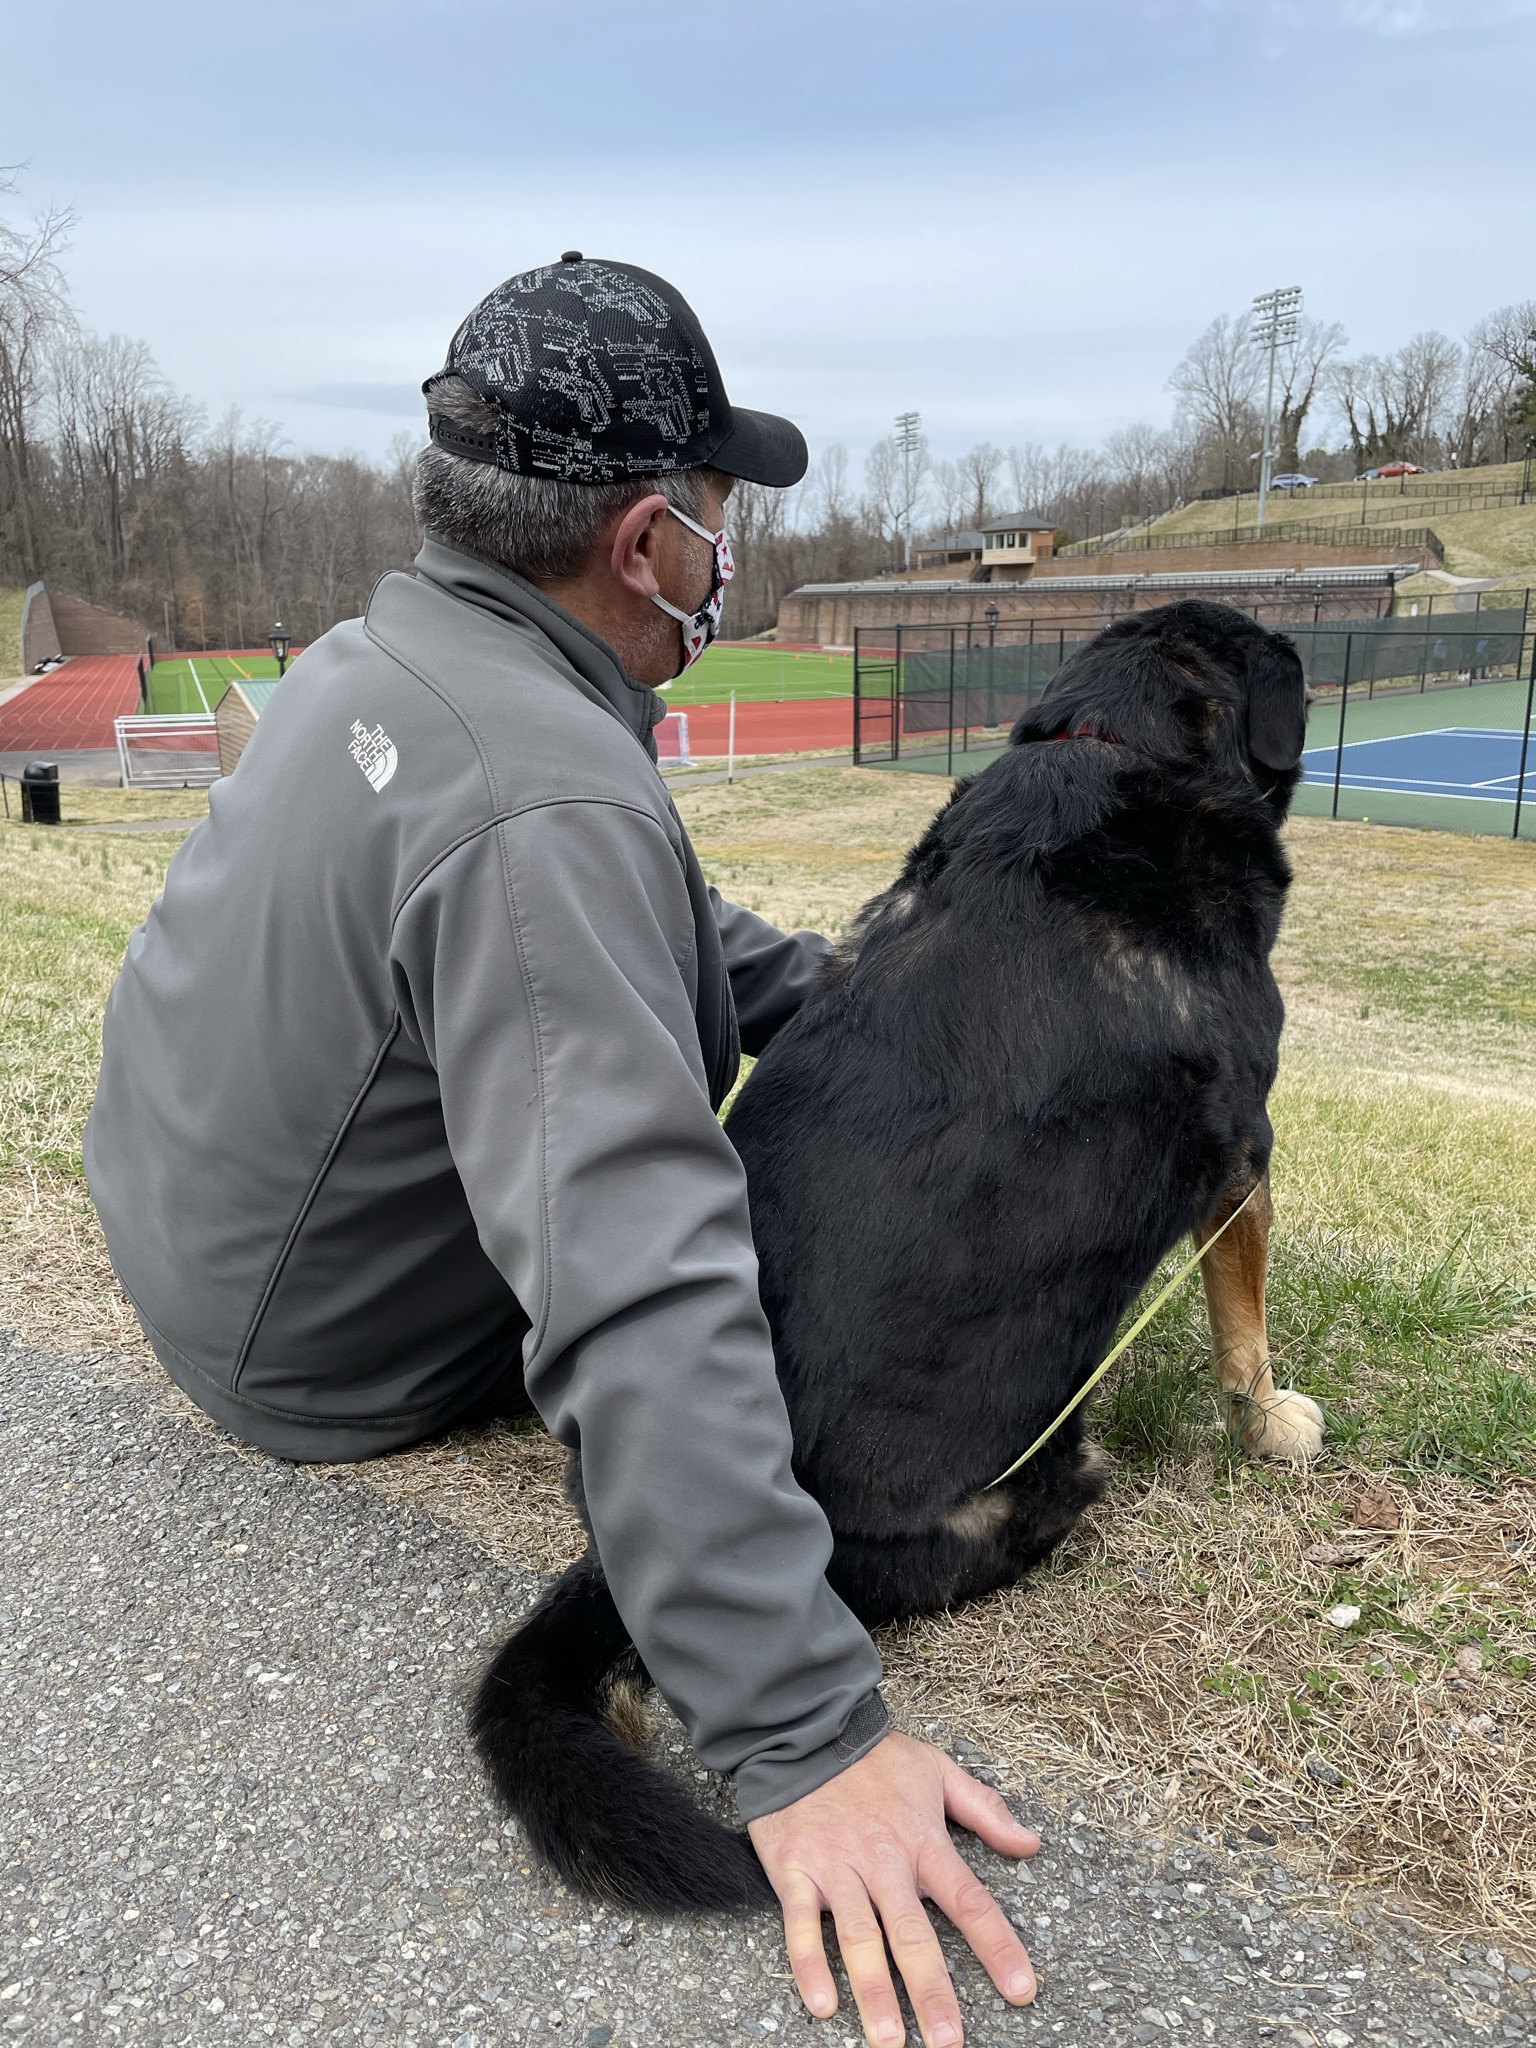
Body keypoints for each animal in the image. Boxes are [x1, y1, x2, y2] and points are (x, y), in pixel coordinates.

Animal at [468, 598, 1327, 1908]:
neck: (1115, 742)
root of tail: (622, 1569)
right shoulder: (1243, 1150)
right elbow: (1248, 1326)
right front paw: (1269, 1421)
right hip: (1043, 1477)